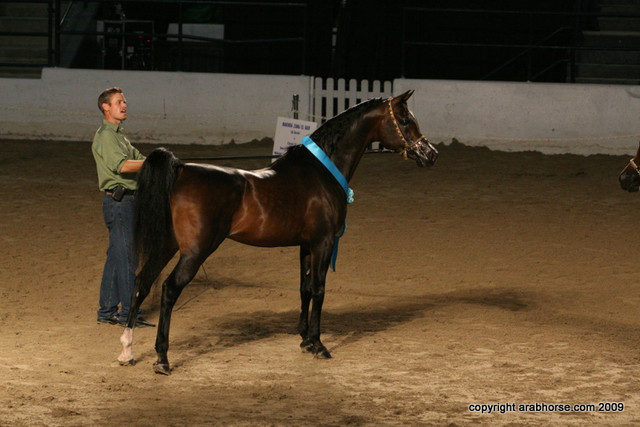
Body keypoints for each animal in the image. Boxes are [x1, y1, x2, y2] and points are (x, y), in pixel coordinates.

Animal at [118, 90, 438, 375]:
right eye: (405, 120)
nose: (430, 154)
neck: (321, 172)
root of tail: (181, 170)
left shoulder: (306, 245)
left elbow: (305, 289)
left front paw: (305, 340)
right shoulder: (323, 243)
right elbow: (319, 289)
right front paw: (319, 345)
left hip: (167, 245)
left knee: (141, 282)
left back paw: (126, 350)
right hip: (195, 251)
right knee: (169, 289)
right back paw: (162, 359)